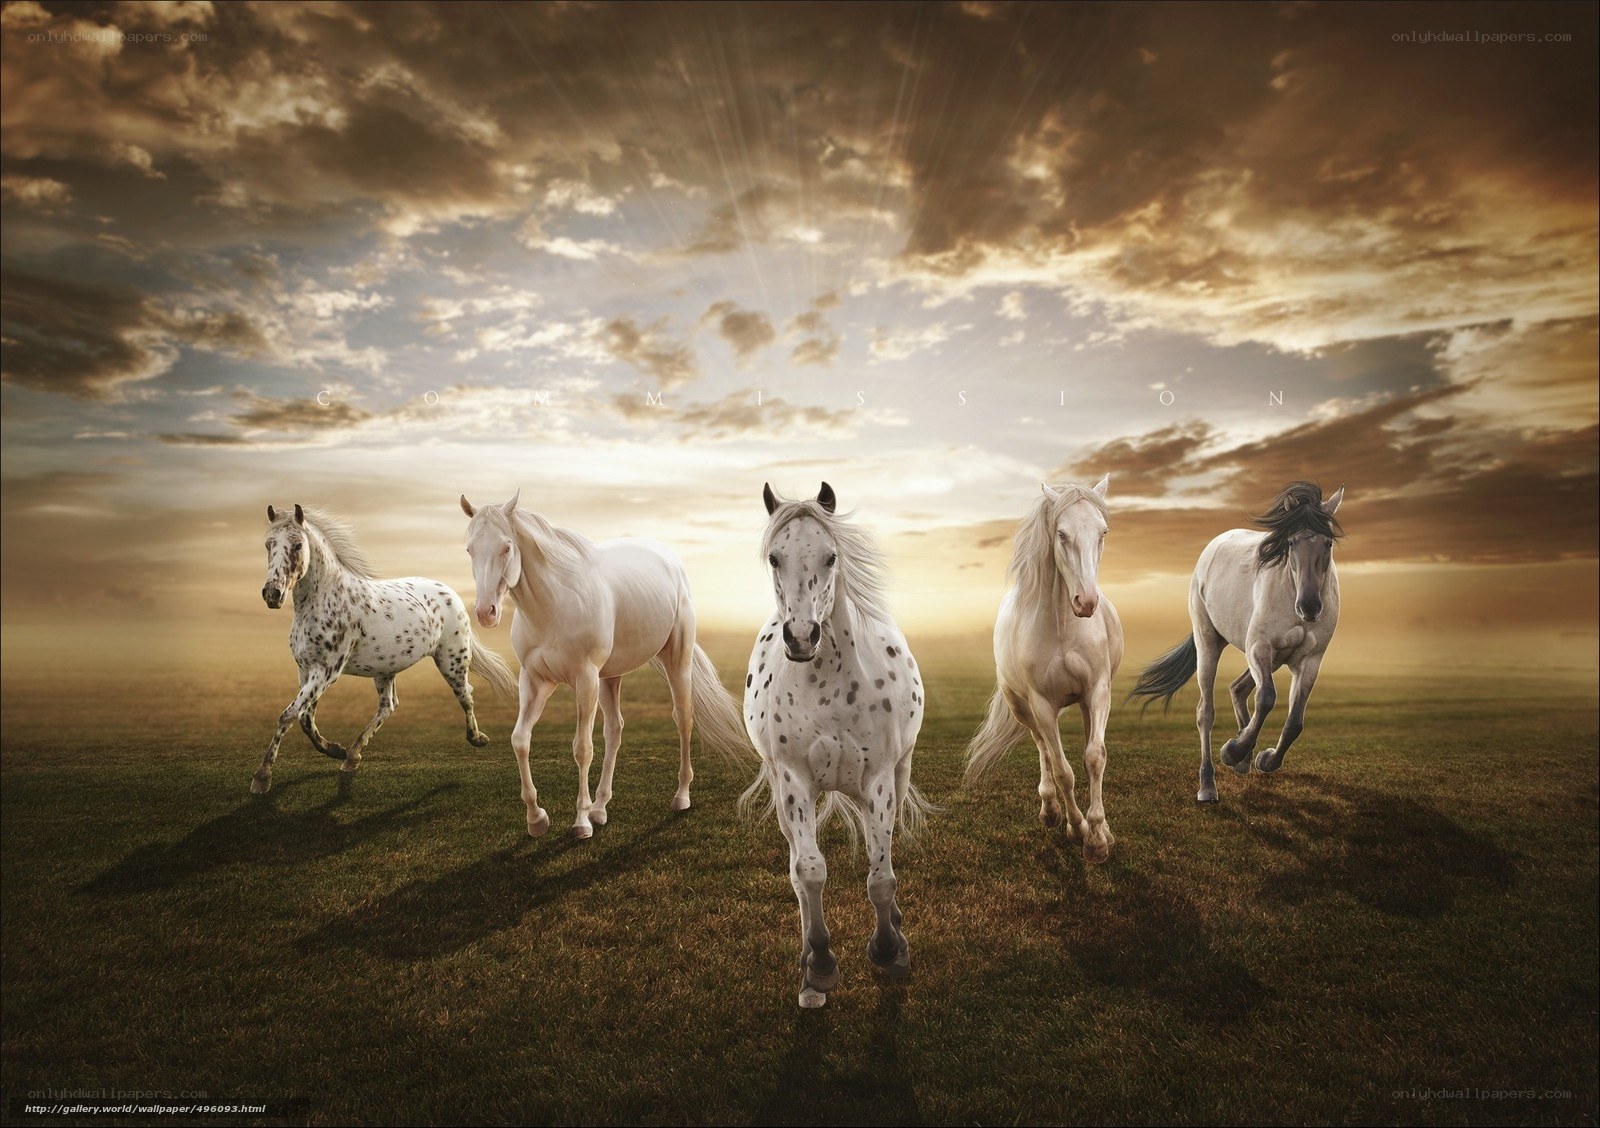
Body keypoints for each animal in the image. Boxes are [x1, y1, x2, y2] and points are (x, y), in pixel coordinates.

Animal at [251, 504, 515, 794]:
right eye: (268, 544)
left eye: (298, 545)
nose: (272, 594)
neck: (324, 600)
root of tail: (450, 593)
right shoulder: (306, 670)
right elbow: (305, 718)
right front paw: (336, 750)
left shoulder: (326, 671)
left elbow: (288, 716)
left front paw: (262, 778)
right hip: (385, 669)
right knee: (388, 705)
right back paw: (352, 756)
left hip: (452, 661)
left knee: (465, 694)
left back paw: (477, 738)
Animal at [459, 490, 749, 839]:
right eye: (470, 549)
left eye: (506, 547)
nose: (485, 612)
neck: (555, 605)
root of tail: (669, 559)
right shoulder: (535, 681)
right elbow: (520, 740)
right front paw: (537, 818)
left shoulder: (585, 679)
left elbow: (582, 747)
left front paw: (580, 823)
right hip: (610, 676)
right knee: (615, 729)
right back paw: (600, 808)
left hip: (676, 660)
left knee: (683, 718)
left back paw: (680, 797)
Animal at [743, 482, 931, 1008]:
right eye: (774, 557)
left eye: (830, 556)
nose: (801, 636)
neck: (828, 685)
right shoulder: (794, 781)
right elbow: (809, 872)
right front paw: (821, 965)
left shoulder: (879, 779)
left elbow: (881, 877)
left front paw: (888, 949)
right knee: (796, 871)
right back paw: (809, 967)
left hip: (896, 775)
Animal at [963, 475, 1123, 863]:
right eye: (1062, 534)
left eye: (1103, 532)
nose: (1086, 602)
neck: (1064, 627)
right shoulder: (1042, 704)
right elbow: (1063, 770)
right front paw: (1078, 829)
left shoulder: (1098, 691)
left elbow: (1094, 757)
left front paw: (1099, 837)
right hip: (1023, 707)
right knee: (1043, 748)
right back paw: (1051, 811)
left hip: (1084, 702)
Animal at [1127, 481, 1345, 802]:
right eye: (1291, 542)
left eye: (1327, 543)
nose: (1309, 607)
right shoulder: (1259, 648)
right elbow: (1266, 698)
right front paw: (1233, 751)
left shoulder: (1310, 661)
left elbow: (1295, 722)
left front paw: (1263, 759)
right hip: (1210, 642)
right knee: (1206, 711)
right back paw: (1209, 785)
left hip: (1274, 659)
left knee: (1238, 688)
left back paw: (1243, 757)